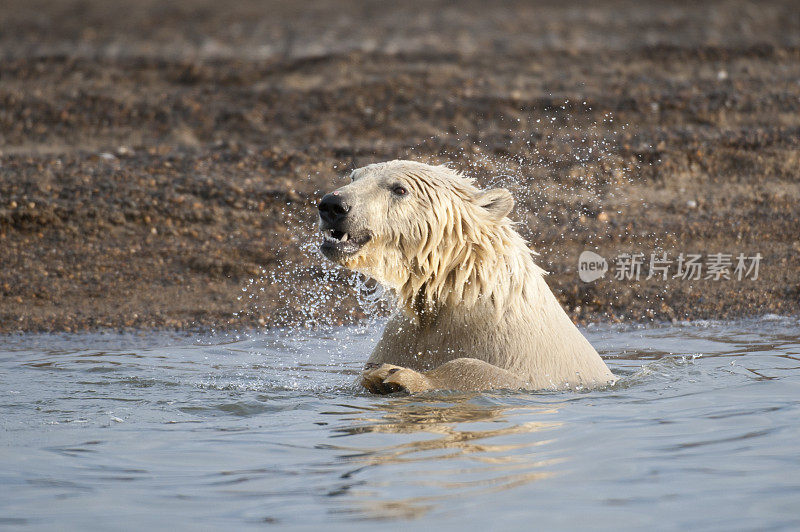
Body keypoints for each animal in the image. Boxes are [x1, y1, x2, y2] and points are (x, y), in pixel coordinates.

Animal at [316, 160, 616, 392]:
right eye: (354, 176)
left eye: (399, 189)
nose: (333, 204)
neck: (464, 292)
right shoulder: (405, 336)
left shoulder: (528, 359)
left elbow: (486, 372)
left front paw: (396, 377)